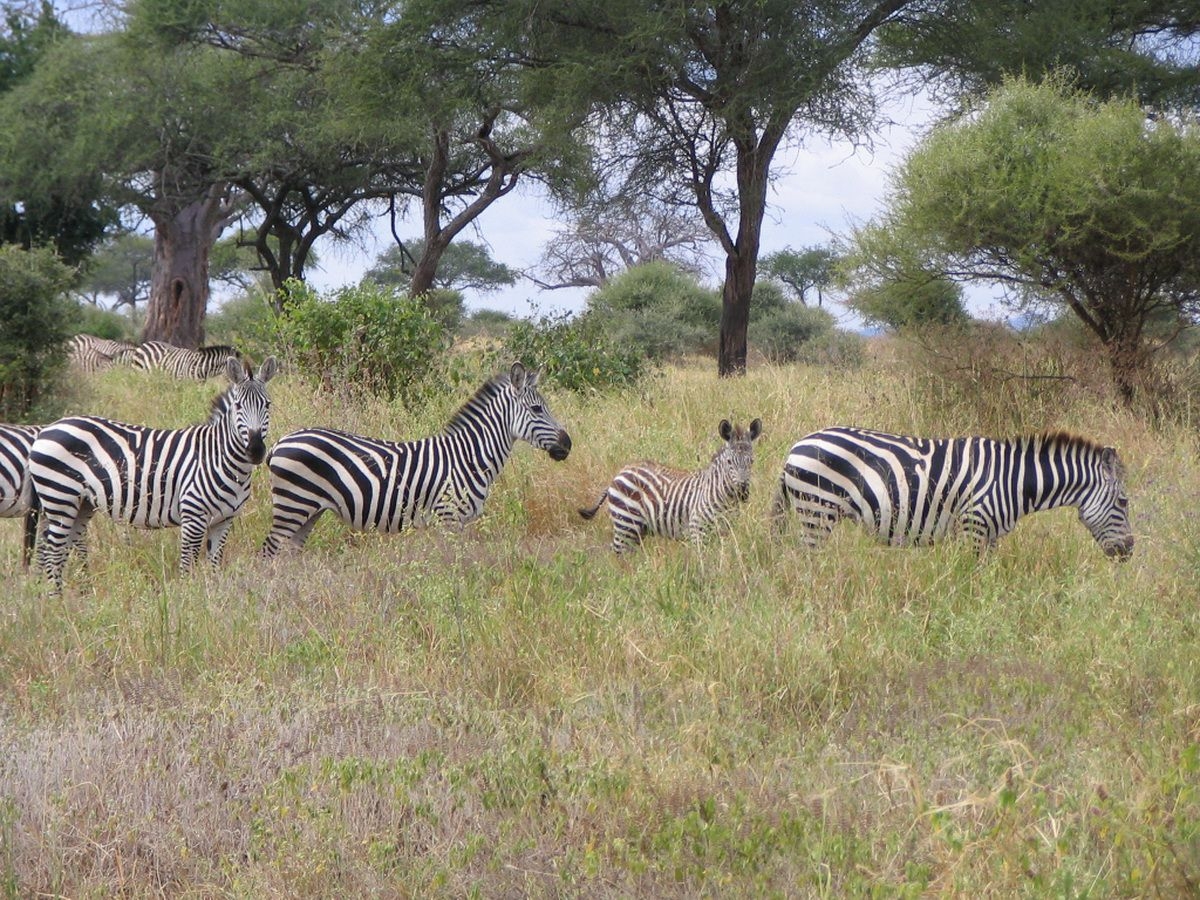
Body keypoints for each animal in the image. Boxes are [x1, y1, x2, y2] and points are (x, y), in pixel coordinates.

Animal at [31, 355, 279, 595]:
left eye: (268, 405)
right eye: (238, 406)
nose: (256, 450)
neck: (220, 458)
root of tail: (46, 429)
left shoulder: (224, 520)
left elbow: (214, 565)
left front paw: (213, 596)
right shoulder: (193, 516)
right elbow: (187, 565)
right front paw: (188, 598)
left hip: (80, 503)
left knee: (61, 547)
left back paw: (65, 597)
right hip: (60, 497)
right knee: (53, 552)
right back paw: (55, 600)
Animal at [259, 362, 576, 556]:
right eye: (537, 409)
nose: (568, 445)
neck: (469, 456)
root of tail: (280, 442)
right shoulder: (449, 518)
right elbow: (452, 566)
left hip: (308, 510)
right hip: (294, 504)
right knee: (269, 551)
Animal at [578, 420, 758, 554]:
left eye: (752, 461)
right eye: (729, 462)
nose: (743, 493)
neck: (723, 497)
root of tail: (621, 471)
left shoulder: (725, 532)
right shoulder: (697, 530)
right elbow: (702, 562)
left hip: (635, 530)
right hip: (626, 523)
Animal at [772, 427, 1128, 561]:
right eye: (1123, 502)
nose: (1129, 552)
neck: (1012, 481)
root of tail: (796, 445)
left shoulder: (989, 535)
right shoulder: (973, 525)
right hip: (817, 511)